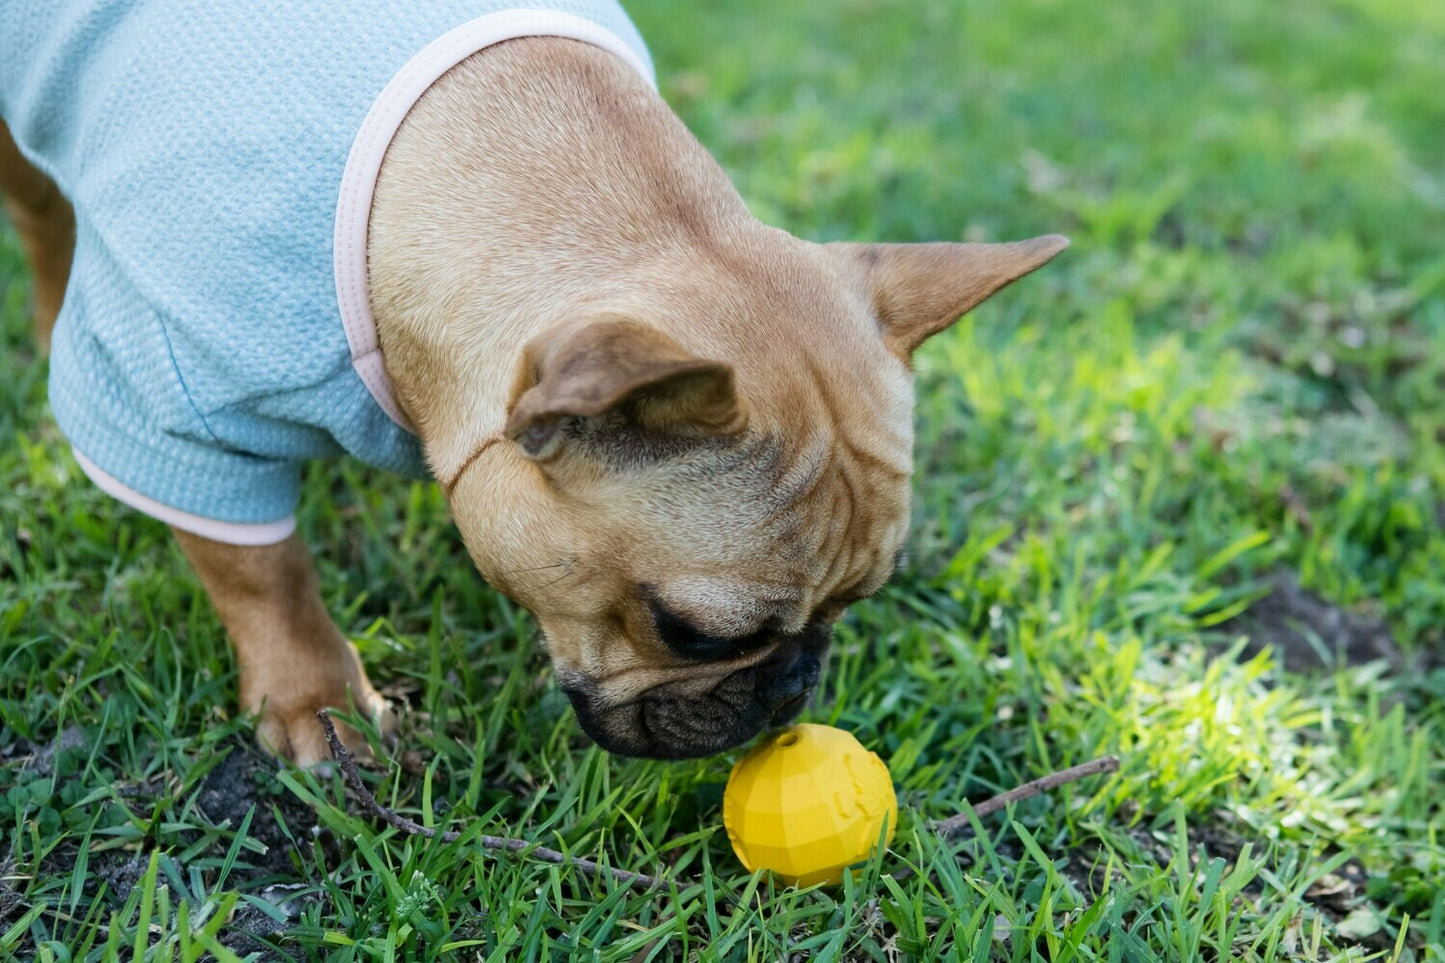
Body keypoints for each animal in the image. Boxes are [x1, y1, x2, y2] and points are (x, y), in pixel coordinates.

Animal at [0, 1, 1063, 763]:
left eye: (857, 602)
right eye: (692, 634)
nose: (790, 687)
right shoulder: (187, 413)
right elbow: (263, 573)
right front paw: (317, 699)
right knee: (47, 215)